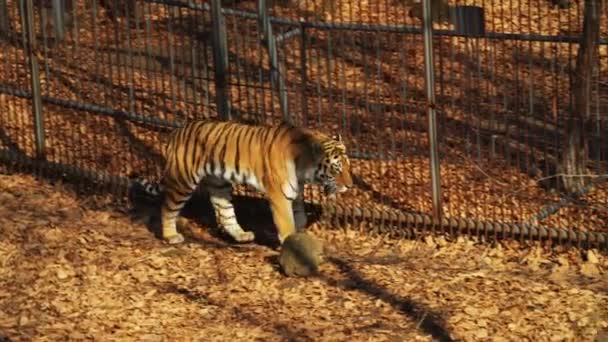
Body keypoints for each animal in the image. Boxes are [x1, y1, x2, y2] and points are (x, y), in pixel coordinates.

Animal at [131, 119, 354, 244]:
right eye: (337, 168)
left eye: (348, 166)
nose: (350, 185)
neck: (303, 167)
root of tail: (176, 131)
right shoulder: (279, 196)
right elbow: (287, 222)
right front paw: (290, 242)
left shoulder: (295, 193)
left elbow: (299, 219)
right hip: (183, 181)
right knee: (167, 207)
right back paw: (171, 236)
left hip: (219, 184)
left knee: (225, 213)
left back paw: (241, 235)